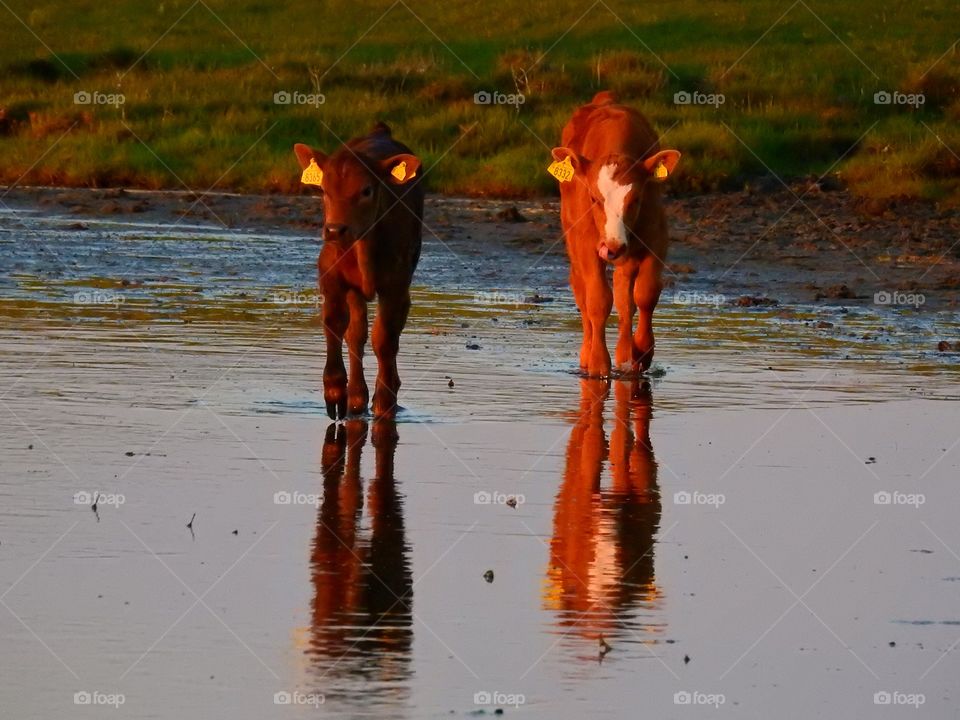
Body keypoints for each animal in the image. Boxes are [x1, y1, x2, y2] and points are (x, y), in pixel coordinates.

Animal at [294, 122, 423, 420]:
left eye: (366, 191)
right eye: (324, 190)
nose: (334, 230)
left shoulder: (396, 285)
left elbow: (384, 339)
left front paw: (385, 404)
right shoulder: (330, 274)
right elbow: (335, 324)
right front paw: (335, 391)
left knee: (387, 334)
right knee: (356, 334)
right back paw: (355, 399)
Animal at [549, 91, 681, 377]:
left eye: (635, 200)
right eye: (594, 198)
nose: (612, 247)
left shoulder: (656, 238)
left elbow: (645, 294)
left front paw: (641, 350)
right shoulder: (586, 246)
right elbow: (598, 300)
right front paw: (598, 364)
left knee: (623, 296)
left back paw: (625, 354)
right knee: (583, 294)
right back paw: (587, 355)